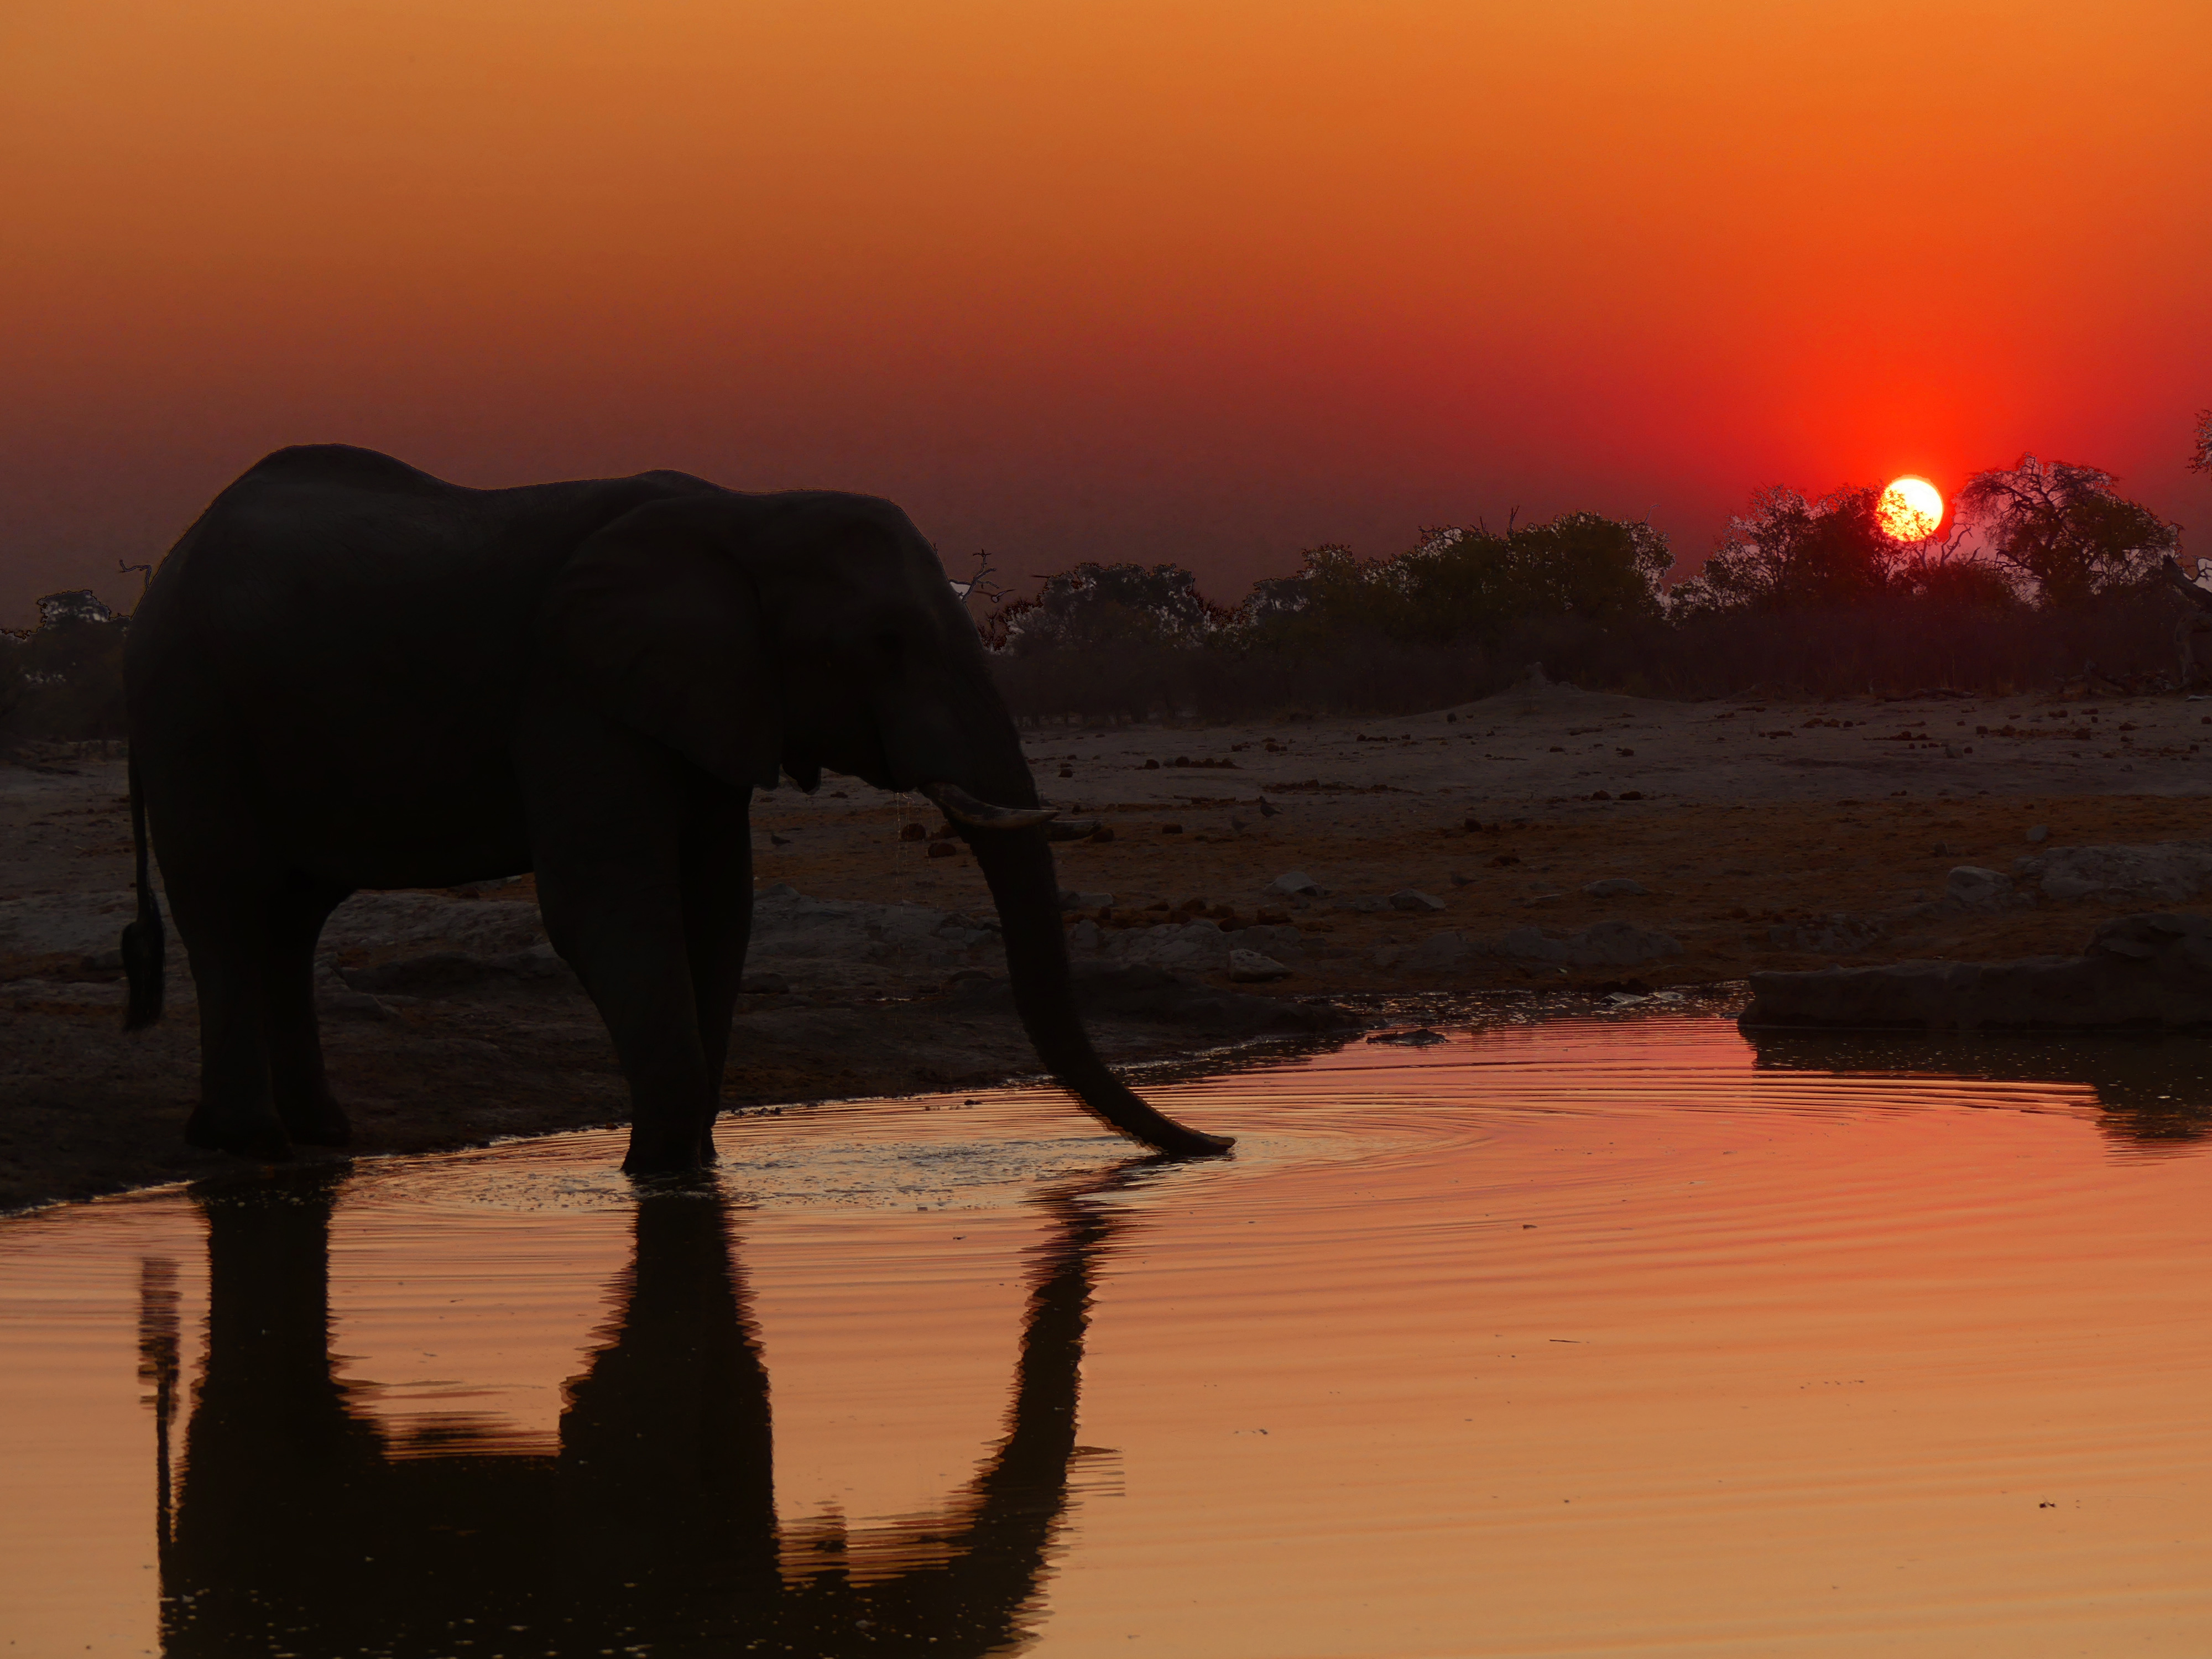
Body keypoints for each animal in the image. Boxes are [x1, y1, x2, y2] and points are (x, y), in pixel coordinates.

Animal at [121, 442, 1230, 1168]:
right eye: (885, 643)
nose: (1218, 1145)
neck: (746, 513)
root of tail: (168, 555)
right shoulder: (572, 688)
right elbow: (607, 904)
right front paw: (658, 1167)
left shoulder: (708, 696)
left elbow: (718, 906)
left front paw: (691, 1161)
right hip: (190, 707)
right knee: (229, 904)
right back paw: (251, 1145)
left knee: (291, 920)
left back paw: (320, 1136)